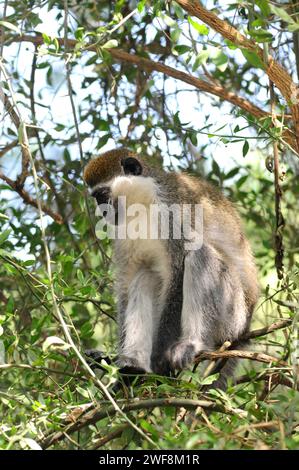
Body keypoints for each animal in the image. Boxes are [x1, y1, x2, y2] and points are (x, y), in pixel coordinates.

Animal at [83, 149, 258, 388]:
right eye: (97, 199)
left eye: (102, 195)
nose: (103, 212)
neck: (144, 204)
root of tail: (245, 329)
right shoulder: (122, 233)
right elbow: (128, 283)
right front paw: (116, 359)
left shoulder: (174, 216)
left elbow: (178, 273)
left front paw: (158, 359)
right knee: (145, 276)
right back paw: (133, 367)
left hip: (232, 315)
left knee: (199, 254)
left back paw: (192, 344)